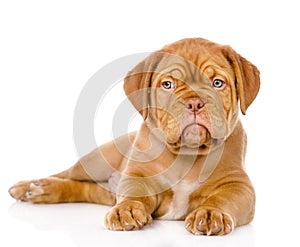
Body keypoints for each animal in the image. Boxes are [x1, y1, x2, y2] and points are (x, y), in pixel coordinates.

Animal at [8, 38, 258, 235]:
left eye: (218, 83)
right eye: (167, 84)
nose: (194, 103)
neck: (187, 153)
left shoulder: (238, 185)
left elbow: (222, 198)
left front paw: (210, 212)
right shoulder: (138, 175)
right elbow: (133, 193)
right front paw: (126, 210)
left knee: (85, 189)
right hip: (96, 160)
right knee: (67, 175)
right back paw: (34, 187)